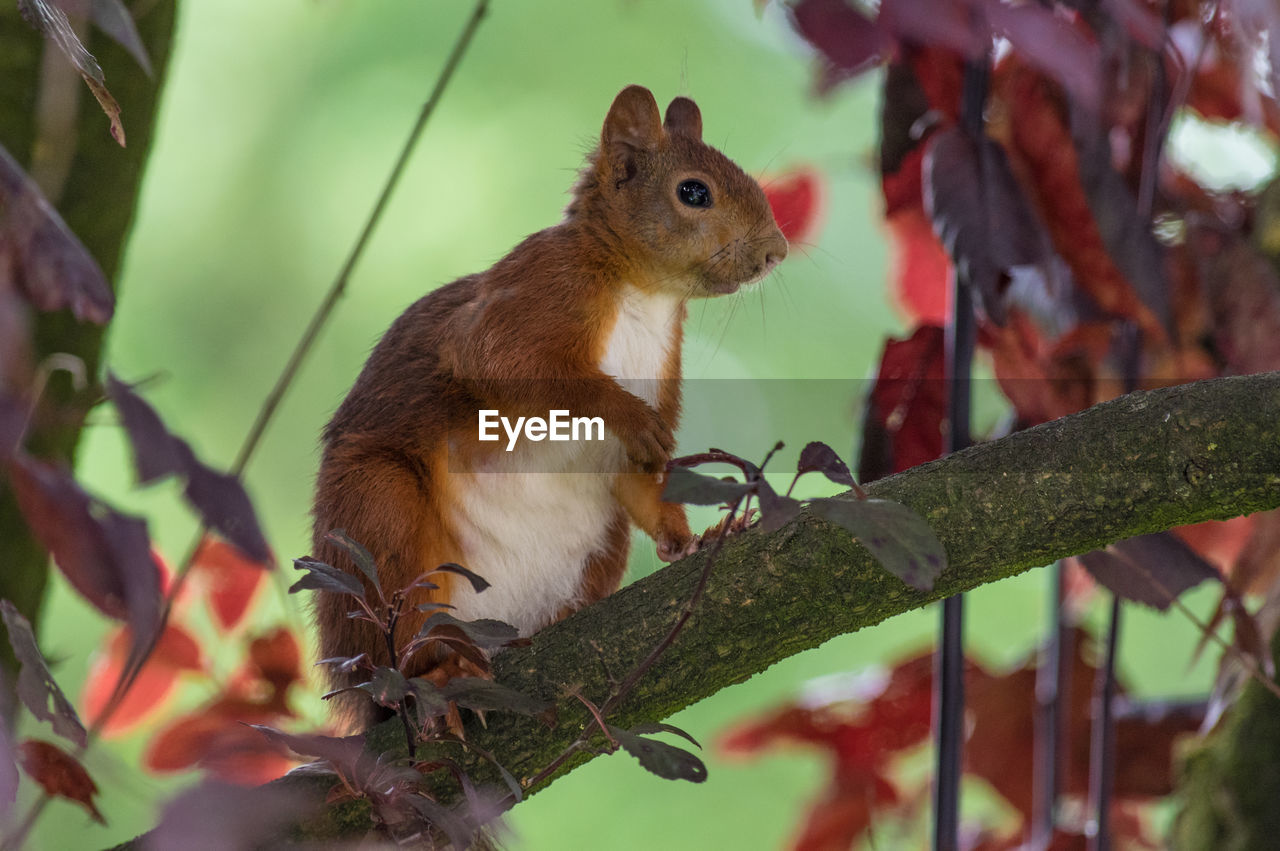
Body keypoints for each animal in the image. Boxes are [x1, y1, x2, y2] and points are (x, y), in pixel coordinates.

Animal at [313, 84, 783, 721]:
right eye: (693, 192)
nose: (777, 252)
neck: (645, 293)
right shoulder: (537, 291)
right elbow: (501, 365)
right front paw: (627, 413)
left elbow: (642, 480)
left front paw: (696, 540)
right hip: (375, 516)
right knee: (396, 635)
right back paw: (435, 669)